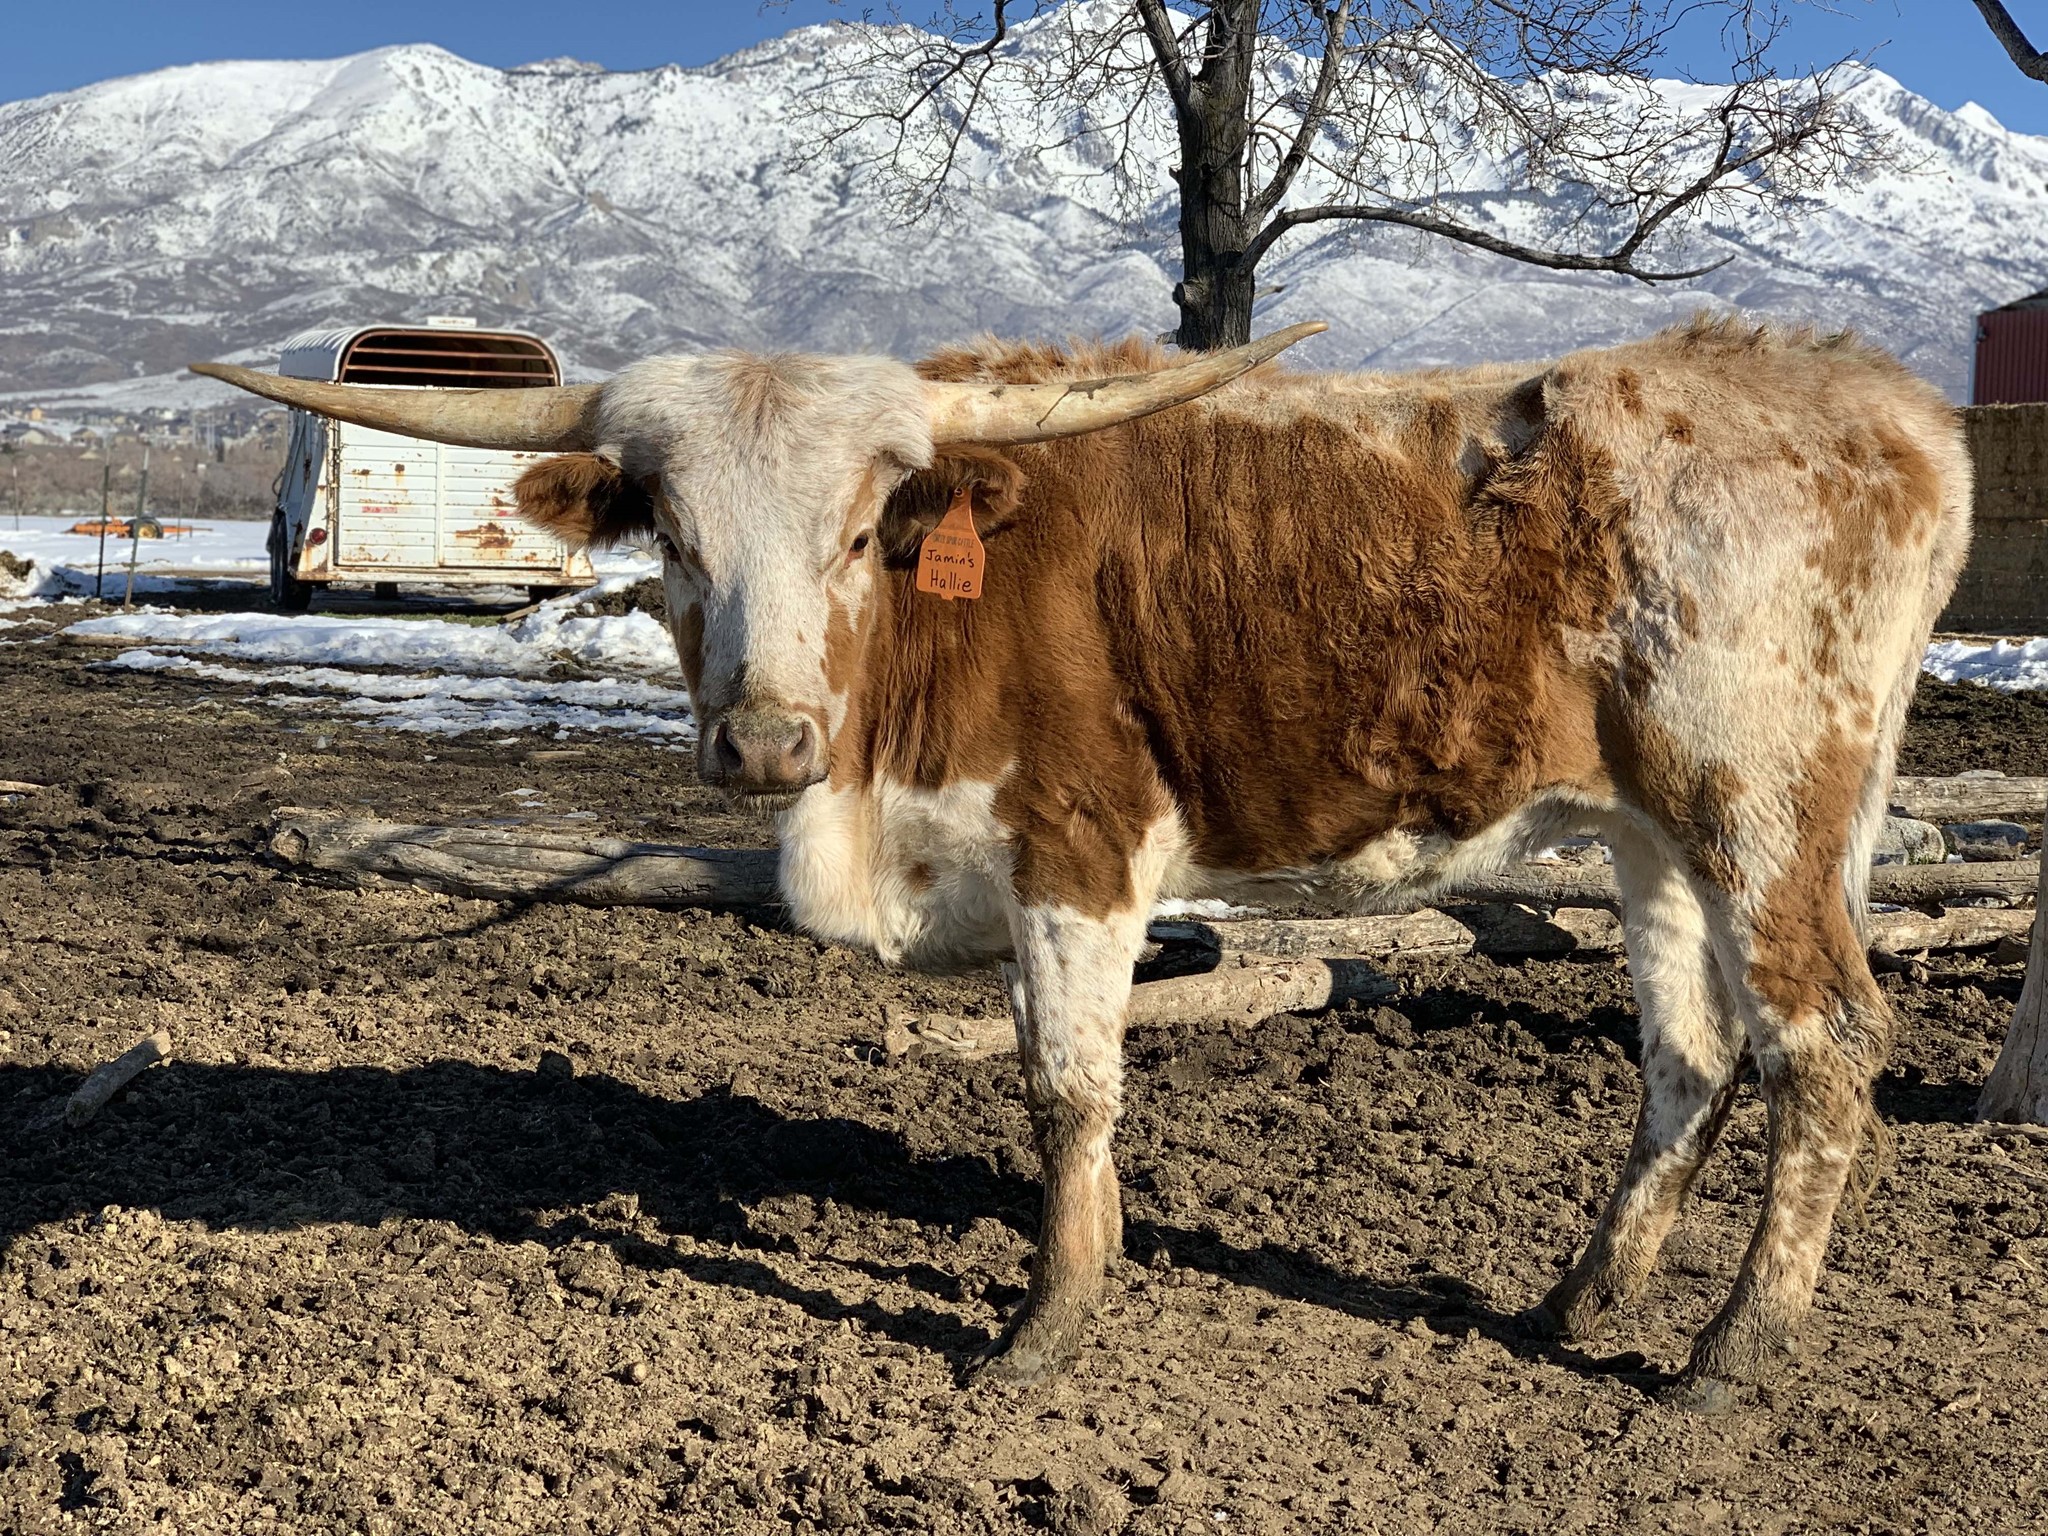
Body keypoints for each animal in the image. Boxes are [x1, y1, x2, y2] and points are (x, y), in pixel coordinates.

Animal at [198, 313, 1971, 1406]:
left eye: (862, 530)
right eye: (672, 536)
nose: (763, 741)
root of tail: (1878, 407)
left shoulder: (1081, 850)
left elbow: (1066, 1089)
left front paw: (1045, 1327)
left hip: (1764, 808)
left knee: (1827, 1046)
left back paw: (1734, 1353)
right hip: (1651, 835)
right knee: (1690, 1054)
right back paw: (1579, 1299)